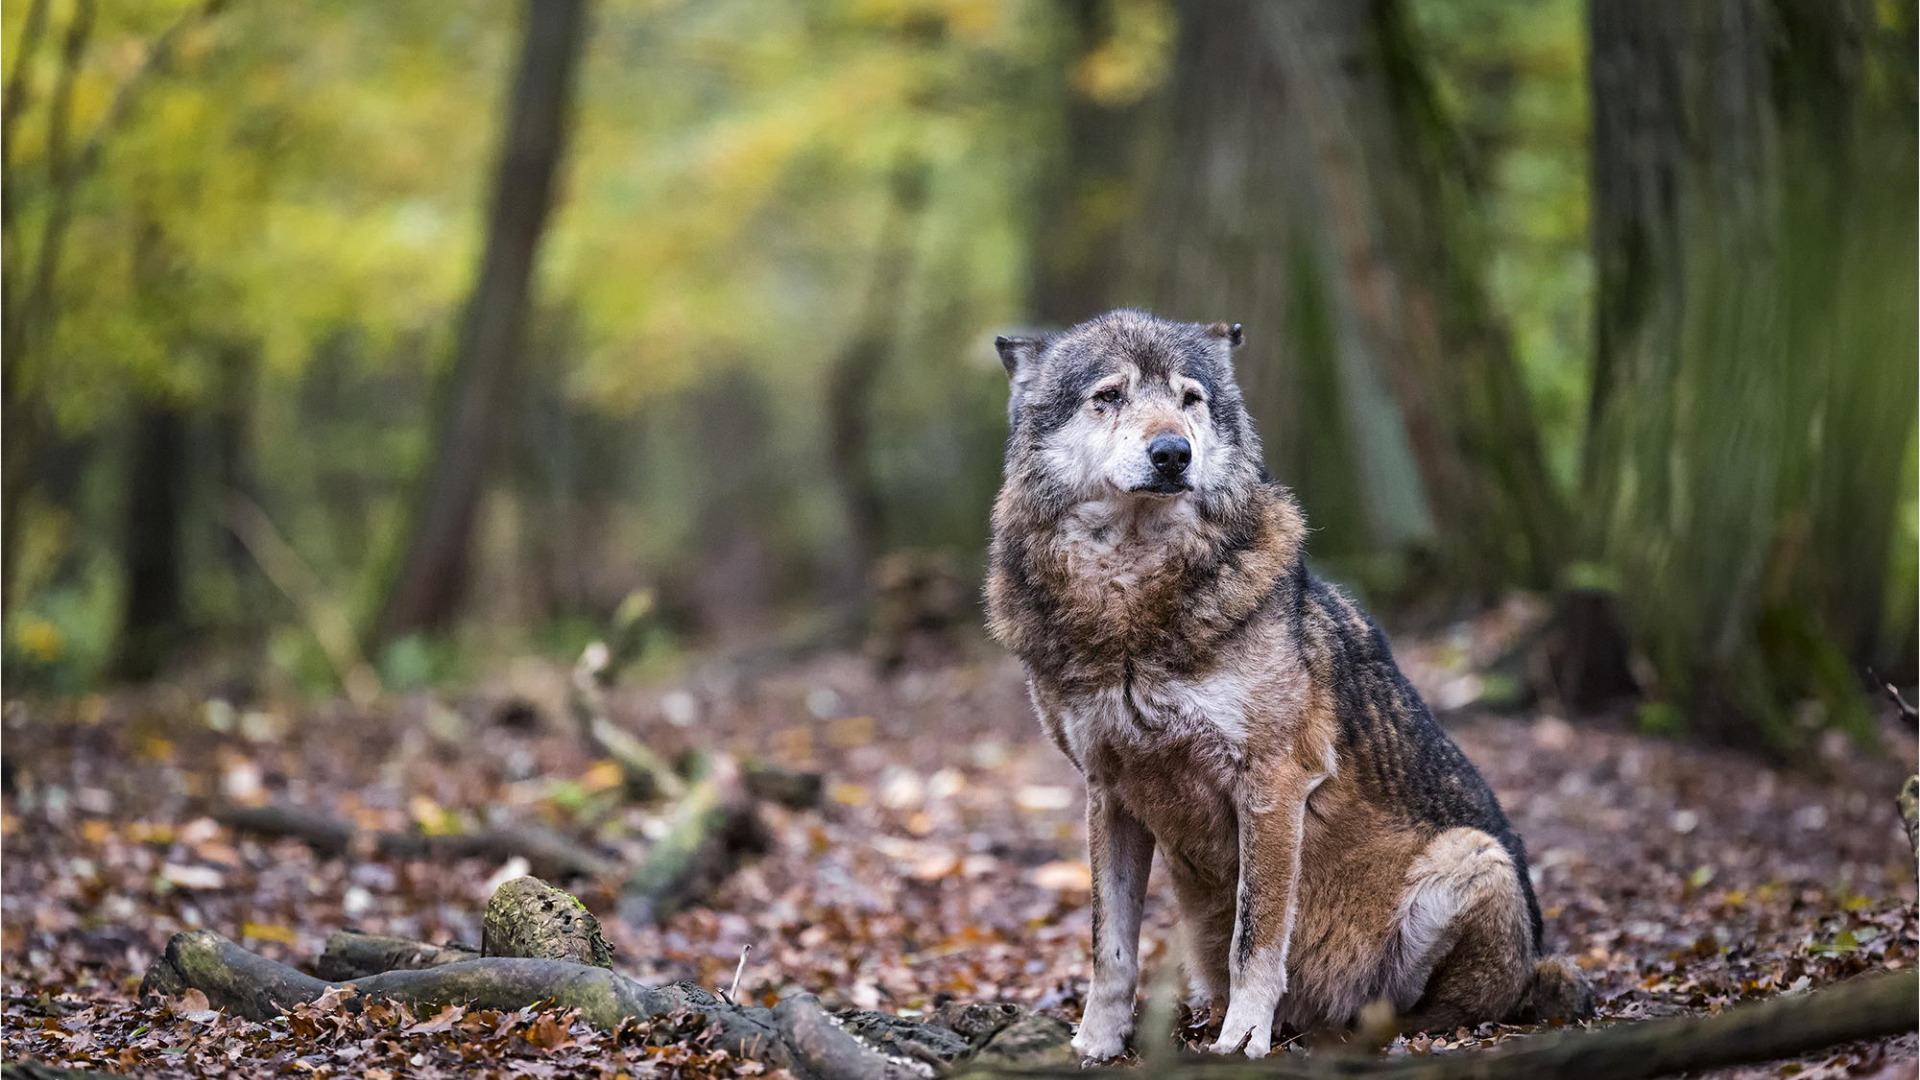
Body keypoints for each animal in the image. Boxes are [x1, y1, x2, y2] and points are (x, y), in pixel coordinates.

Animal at [983, 309, 1597, 1053]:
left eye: (1189, 398)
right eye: (1109, 395)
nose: (1173, 453)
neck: (1131, 603)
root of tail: (1536, 965)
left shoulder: (1272, 780)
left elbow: (1257, 936)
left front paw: (1243, 1040)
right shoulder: (1108, 791)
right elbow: (1111, 947)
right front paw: (1094, 1045)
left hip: (1475, 859)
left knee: (1428, 1010)